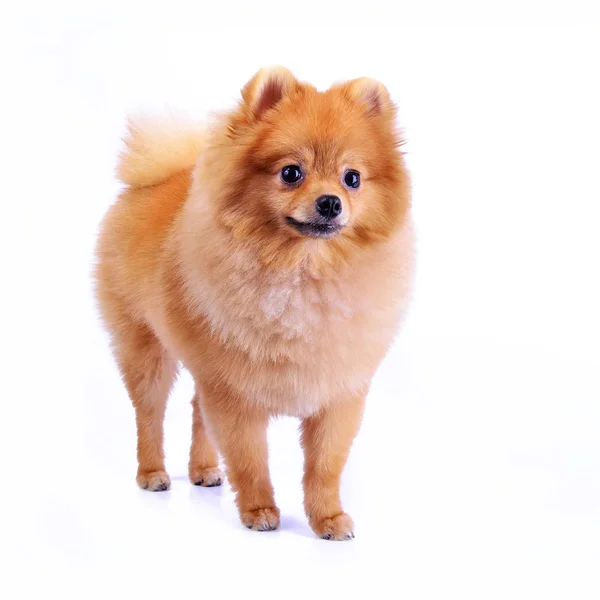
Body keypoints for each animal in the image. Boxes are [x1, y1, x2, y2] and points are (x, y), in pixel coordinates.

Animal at [95, 65, 412, 540]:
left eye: (352, 178)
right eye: (291, 173)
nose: (330, 202)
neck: (302, 274)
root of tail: (155, 179)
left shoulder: (336, 395)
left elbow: (324, 467)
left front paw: (328, 518)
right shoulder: (236, 394)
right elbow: (250, 460)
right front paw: (259, 510)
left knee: (195, 409)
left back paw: (203, 469)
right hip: (145, 347)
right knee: (149, 413)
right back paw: (153, 473)